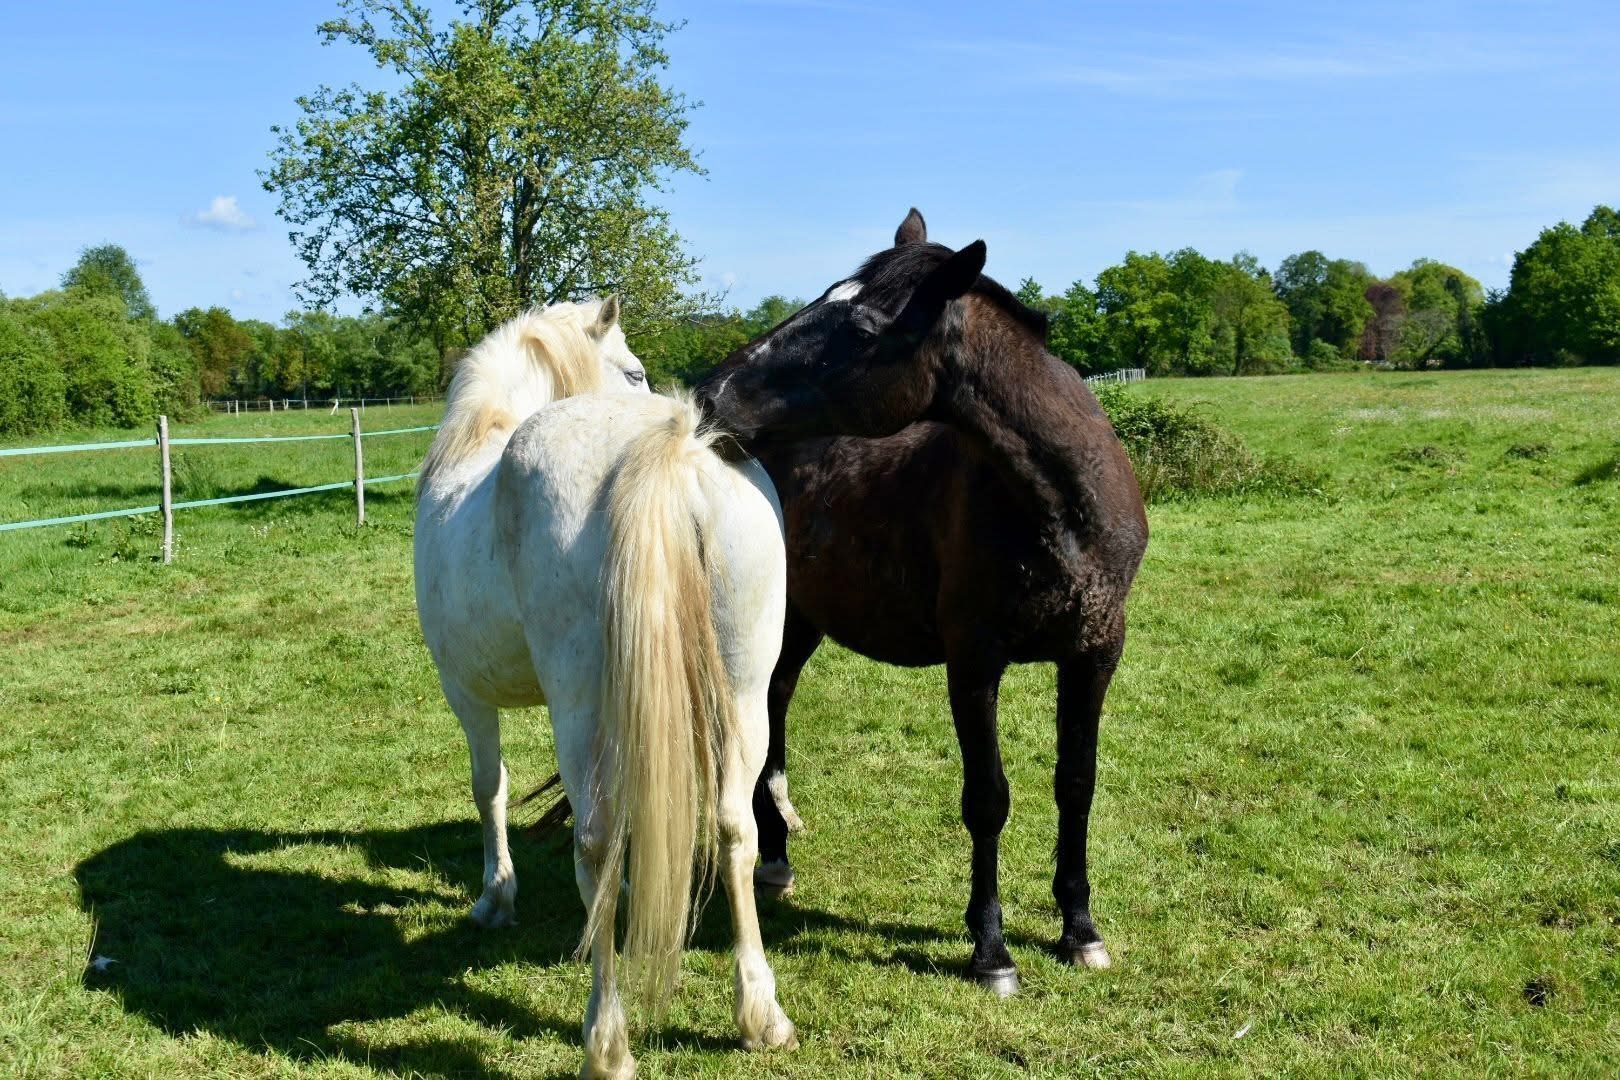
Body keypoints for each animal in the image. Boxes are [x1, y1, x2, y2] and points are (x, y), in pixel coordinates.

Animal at [413, 299, 800, 1078]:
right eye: (637, 370)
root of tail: (668, 450)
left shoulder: (465, 695)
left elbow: (488, 788)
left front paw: (495, 896)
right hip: (744, 695)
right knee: (734, 827)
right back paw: (760, 1014)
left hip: (579, 705)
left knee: (591, 843)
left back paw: (607, 1041)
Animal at [692, 211, 1150, 996]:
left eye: (863, 326)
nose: (711, 394)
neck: (1059, 509)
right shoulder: (973, 663)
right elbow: (987, 799)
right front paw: (992, 951)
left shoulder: (1093, 656)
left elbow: (1076, 784)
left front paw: (1080, 930)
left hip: (802, 623)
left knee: (777, 705)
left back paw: (777, 849)